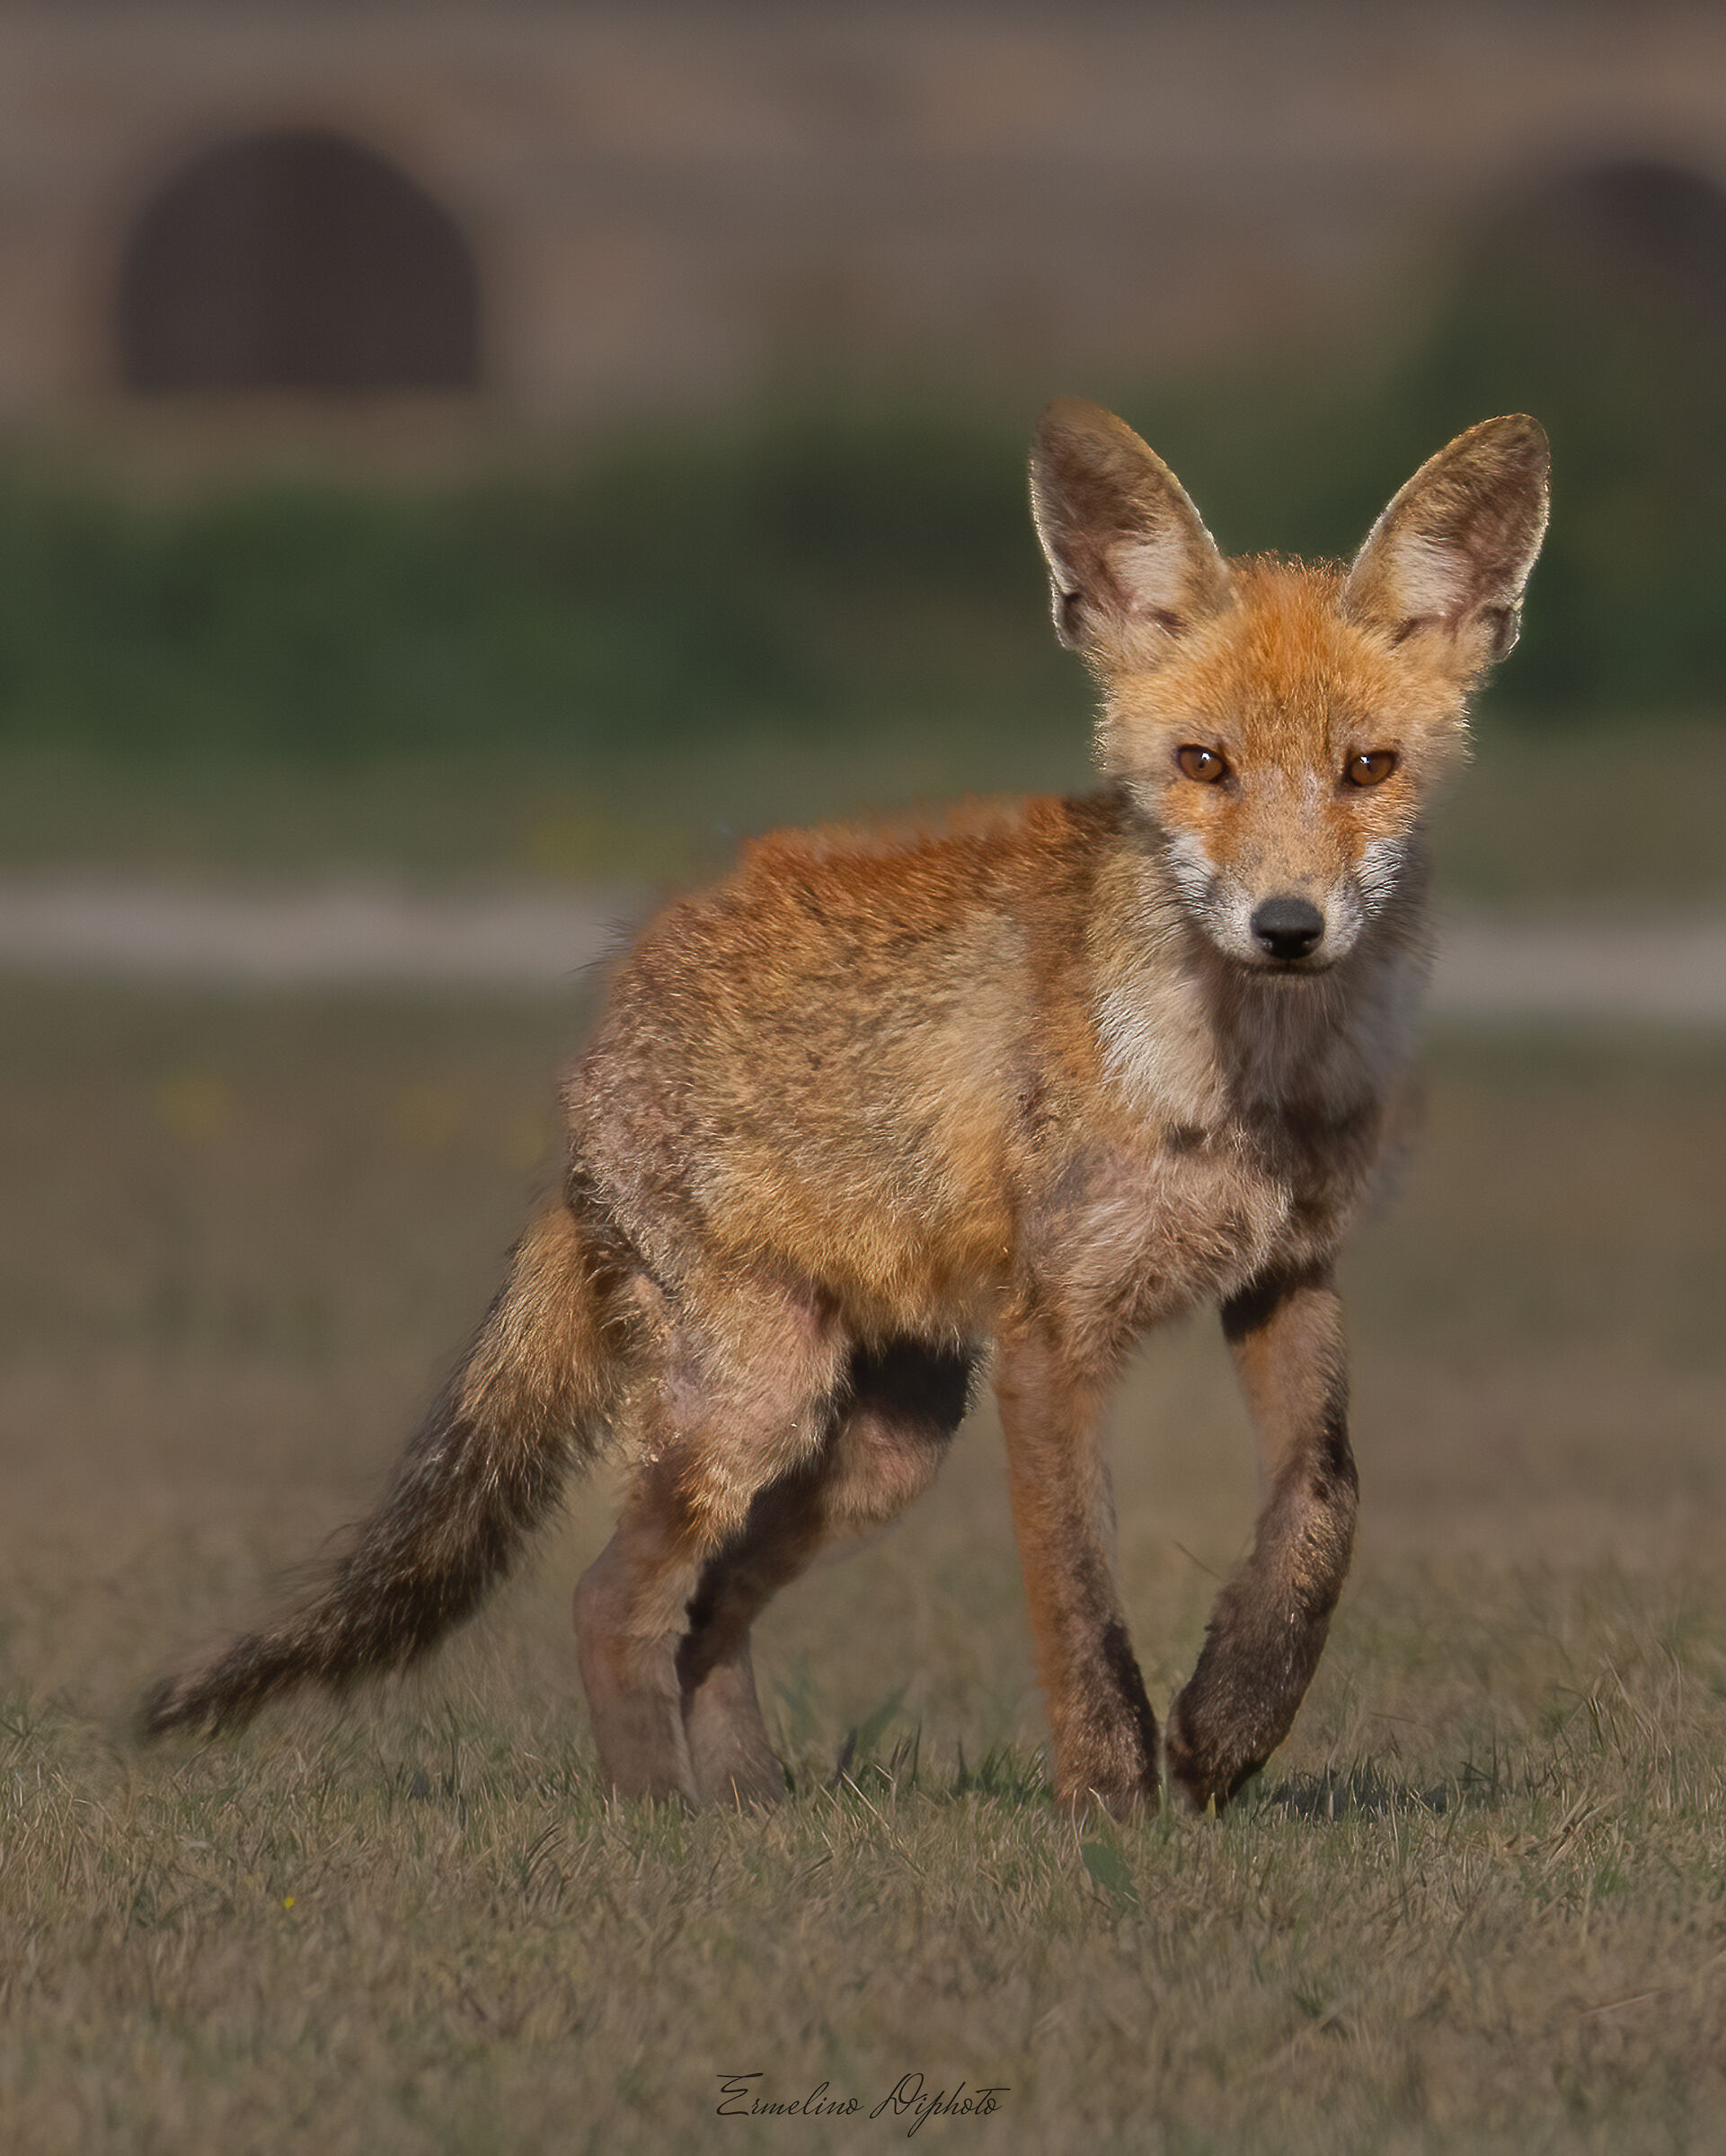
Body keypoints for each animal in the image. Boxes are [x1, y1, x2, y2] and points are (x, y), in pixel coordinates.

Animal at [143, 399, 1548, 1817]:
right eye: (1200, 763)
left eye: (1366, 768)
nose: (1287, 927)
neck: (1251, 1089)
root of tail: (591, 1056)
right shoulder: (1052, 1340)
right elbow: (1080, 1605)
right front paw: (1111, 1805)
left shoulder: (1286, 1273)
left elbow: (1324, 1502)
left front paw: (1235, 1718)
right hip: (762, 1398)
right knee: (613, 1597)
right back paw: (664, 1821)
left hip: (883, 1444)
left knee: (708, 1613)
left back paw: (754, 1810)